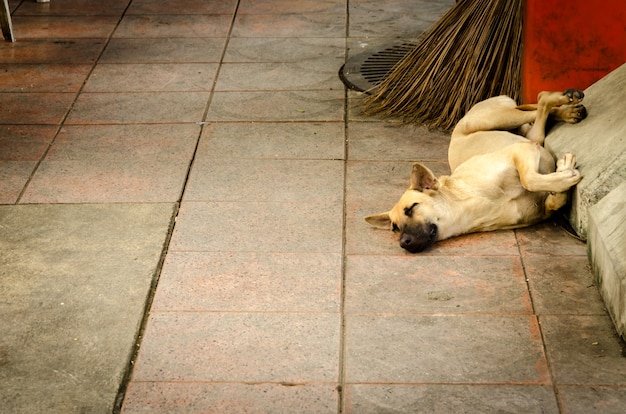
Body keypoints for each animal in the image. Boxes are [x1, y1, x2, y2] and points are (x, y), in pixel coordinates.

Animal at [364, 89, 588, 254]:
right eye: (394, 227)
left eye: (411, 208)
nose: (404, 242)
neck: (467, 205)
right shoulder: (544, 207)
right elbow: (554, 200)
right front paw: (563, 172)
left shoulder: (520, 150)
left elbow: (529, 179)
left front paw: (565, 173)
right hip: (525, 133)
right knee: (538, 117)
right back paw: (567, 110)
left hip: (489, 120)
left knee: (540, 103)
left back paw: (564, 101)